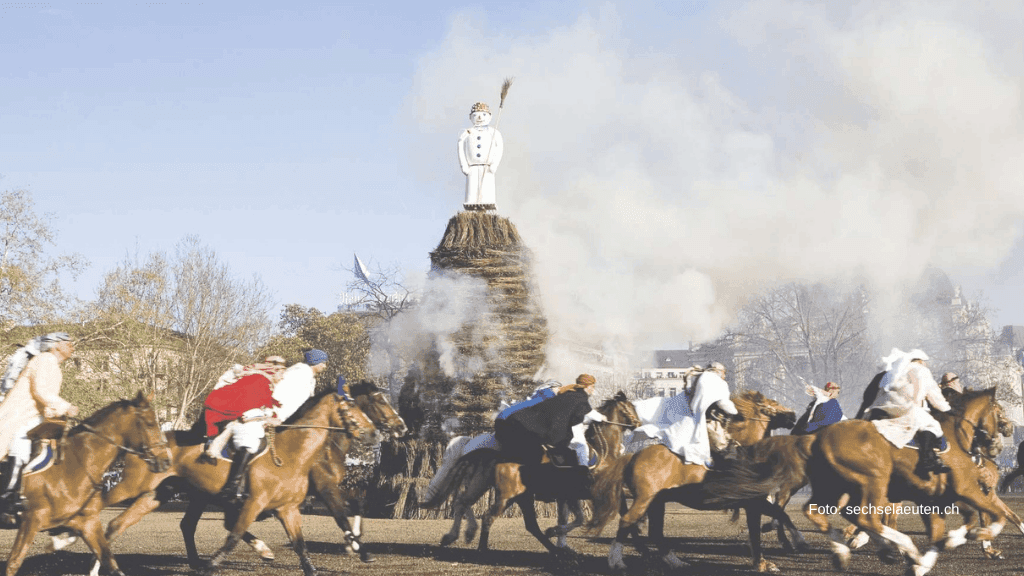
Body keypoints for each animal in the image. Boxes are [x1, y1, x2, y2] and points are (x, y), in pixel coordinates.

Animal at [3, 391, 171, 576]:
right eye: (150, 424)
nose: (165, 461)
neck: (74, 465)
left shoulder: (86, 522)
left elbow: (110, 562)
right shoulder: (31, 519)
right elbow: (13, 563)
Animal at [87, 389, 374, 576]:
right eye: (351, 408)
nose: (373, 432)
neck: (292, 454)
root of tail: (144, 445)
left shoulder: (289, 509)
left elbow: (301, 546)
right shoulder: (253, 503)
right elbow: (233, 536)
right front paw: (213, 564)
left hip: (156, 494)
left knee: (117, 524)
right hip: (131, 486)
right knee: (98, 507)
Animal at [421, 391, 641, 554]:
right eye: (630, 408)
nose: (638, 424)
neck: (603, 451)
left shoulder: (572, 495)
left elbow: (574, 518)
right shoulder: (586, 493)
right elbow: (580, 519)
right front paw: (554, 532)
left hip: (501, 491)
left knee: (466, 504)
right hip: (505, 495)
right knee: (486, 515)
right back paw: (480, 546)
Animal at [586, 390, 800, 573]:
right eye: (774, 403)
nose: (793, 416)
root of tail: (633, 456)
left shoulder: (754, 502)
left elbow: (774, 517)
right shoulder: (754, 502)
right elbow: (769, 522)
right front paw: (781, 550)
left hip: (657, 503)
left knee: (655, 532)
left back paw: (675, 562)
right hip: (644, 500)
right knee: (627, 522)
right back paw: (617, 561)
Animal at [801, 387, 1007, 576]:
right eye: (999, 411)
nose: (997, 445)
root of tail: (818, 438)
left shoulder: (936, 499)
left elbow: (949, 528)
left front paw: (932, 556)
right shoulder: (966, 489)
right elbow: (998, 515)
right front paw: (978, 535)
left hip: (835, 488)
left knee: (817, 511)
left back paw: (848, 553)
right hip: (874, 483)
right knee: (866, 518)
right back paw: (902, 548)